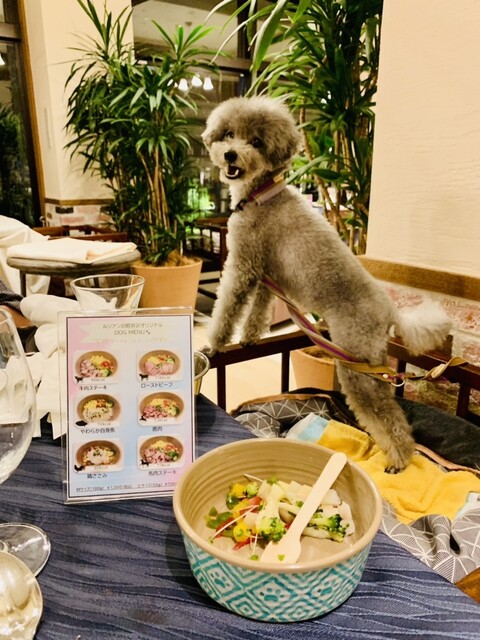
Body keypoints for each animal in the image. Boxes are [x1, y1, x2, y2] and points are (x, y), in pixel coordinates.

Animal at [201, 95, 451, 472]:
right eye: (229, 133)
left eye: (256, 142)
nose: (231, 155)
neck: (261, 193)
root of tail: (390, 310)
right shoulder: (267, 275)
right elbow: (258, 311)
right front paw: (249, 338)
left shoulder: (244, 264)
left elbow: (227, 307)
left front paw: (214, 345)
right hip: (366, 361)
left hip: (356, 365)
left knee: (389, 417)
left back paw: (399, 460)